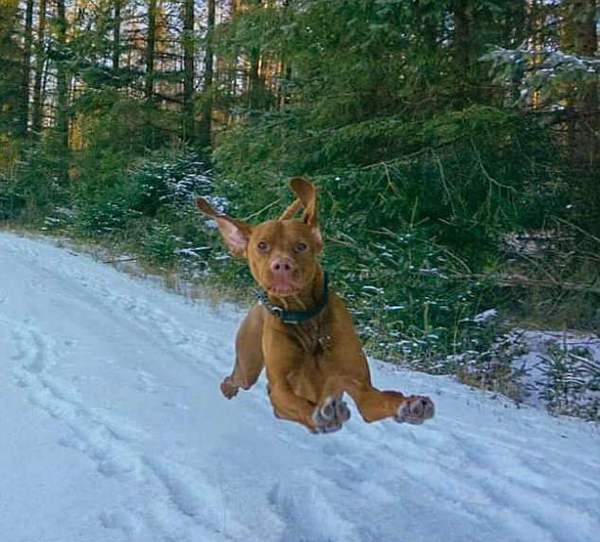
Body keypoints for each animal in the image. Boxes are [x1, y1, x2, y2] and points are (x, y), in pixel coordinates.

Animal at [198, 181, 436, 436]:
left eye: (301, 246)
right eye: (262, 245)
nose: (281, 265)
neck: (306, 318)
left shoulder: (361, 388)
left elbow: (383, 400)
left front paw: (409, 406)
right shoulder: (280, 389)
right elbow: (298, 404)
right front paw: (321, 415)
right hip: (248, 366)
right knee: (237, 378)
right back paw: (228, 388)